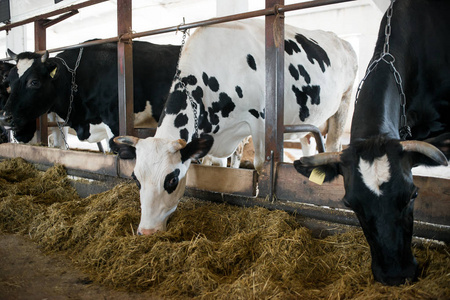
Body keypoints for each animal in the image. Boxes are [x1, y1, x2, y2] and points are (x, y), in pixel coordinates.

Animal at [114, 19, 356, 237]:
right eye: (136, 179)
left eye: (172, 179)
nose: (146, 231)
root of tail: (342, 40)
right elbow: (220, 166)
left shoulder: (260, 123)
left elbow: (260, 167)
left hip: (344, 102)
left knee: (333, 145)